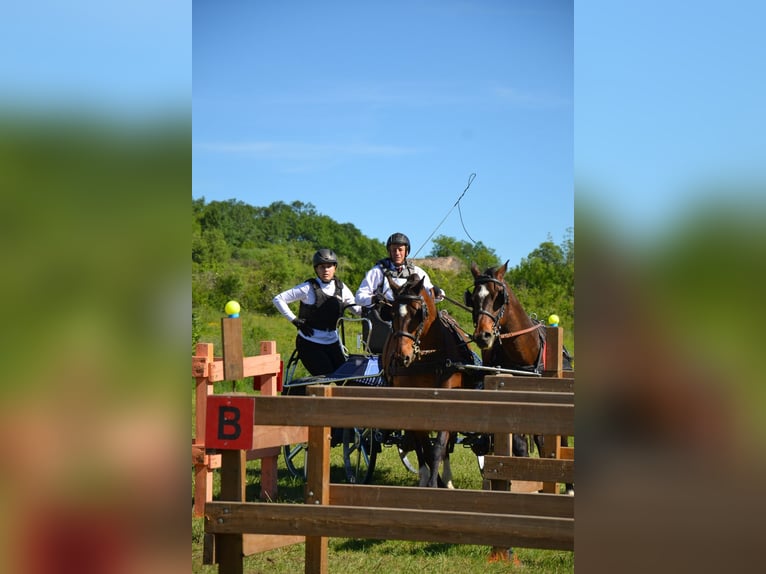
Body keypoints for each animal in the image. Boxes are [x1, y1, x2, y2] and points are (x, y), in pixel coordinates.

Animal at [382, 276, 474, 490]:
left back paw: (446, 479)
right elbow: (422, 444)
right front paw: (428, 480)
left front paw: (436, 482)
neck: (427, 358)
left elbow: (439, 444)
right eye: (392, 313)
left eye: (418, 312)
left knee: (447, 443)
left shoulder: (448, 397)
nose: (402, 357)